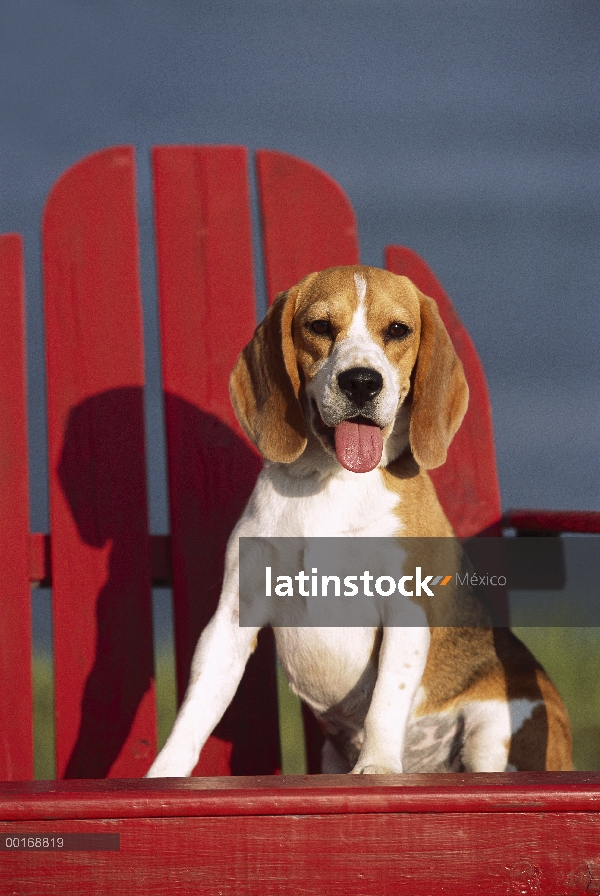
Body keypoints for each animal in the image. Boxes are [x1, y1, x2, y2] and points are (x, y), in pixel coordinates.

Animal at [148, 264, 576, 776]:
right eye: (318, 326)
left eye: (398, 330)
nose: (361, 382)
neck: (333, 483)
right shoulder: (234, 613)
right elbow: (197, 708)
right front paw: (163, 775)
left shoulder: (405, 609)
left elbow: (385, 702)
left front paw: (377, 767)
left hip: (495, 730)